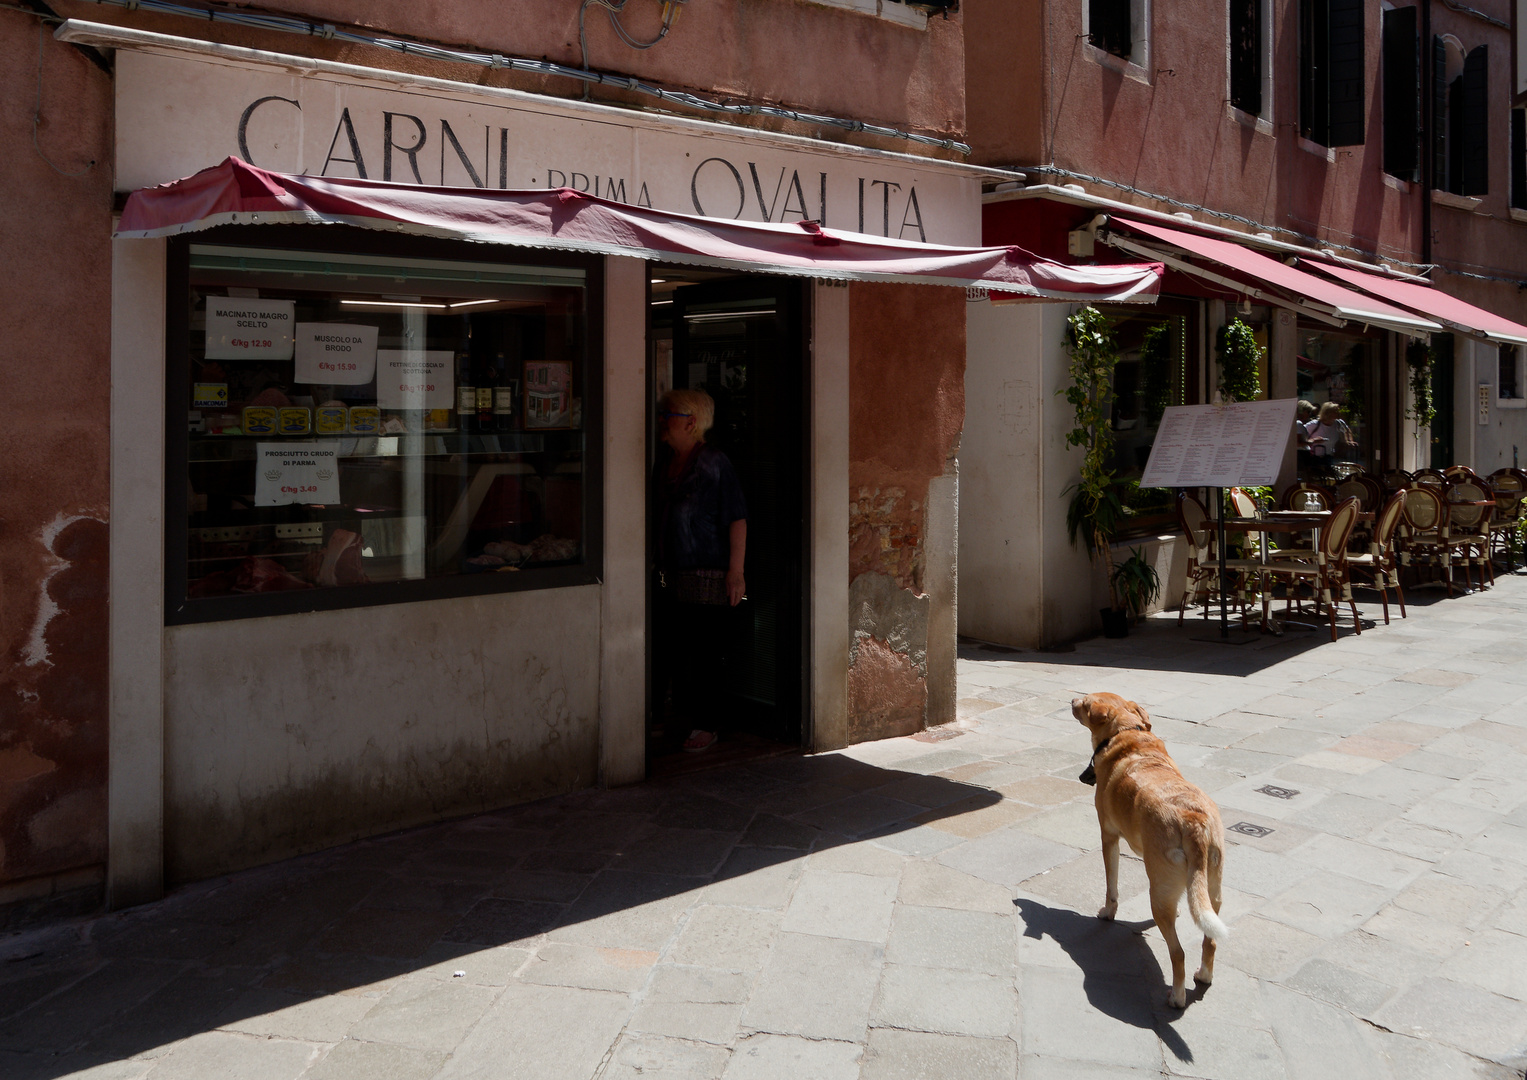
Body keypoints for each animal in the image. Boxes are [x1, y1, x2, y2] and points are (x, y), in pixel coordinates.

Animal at [1075, 687, 1227, 1008]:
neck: (1127, 734)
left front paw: (1108, 912)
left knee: (1177, 953)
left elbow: (1111, 884)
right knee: (1210, 939)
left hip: (1158, 893)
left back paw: (1177, 997)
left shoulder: (1108, 836)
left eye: (1085, 702)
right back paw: (1204, 976)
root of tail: (1193, 820)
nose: (1070, 700)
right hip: (1212, 888)